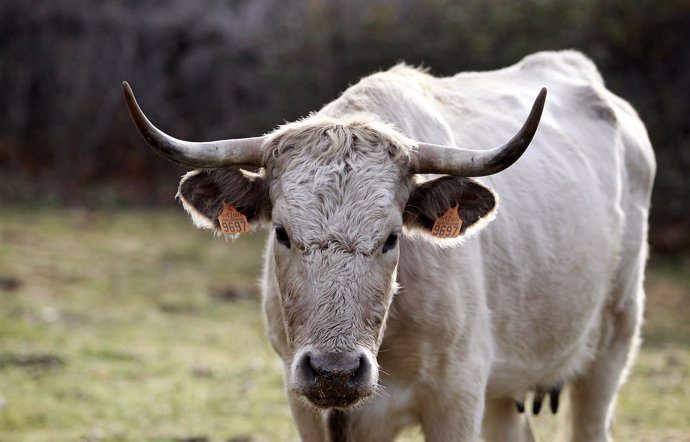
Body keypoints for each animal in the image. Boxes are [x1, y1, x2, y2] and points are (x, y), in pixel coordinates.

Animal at [123, 50, 656, 440]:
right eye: (282, 233)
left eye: (391, 238)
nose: (334, 371)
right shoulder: (305, 403)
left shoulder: (456, 395)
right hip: (506, 390)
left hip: (614, 343)